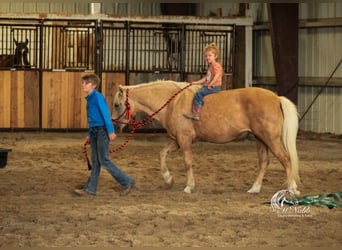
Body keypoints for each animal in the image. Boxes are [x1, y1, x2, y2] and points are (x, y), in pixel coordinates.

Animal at [111, 80, 300, 195]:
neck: (172, 103)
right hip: (260, 139)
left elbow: (187, 162)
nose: (114, 126)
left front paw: (189, 186)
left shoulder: (184, 140)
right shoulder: (176, 141)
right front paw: (169, 179)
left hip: (270, 139)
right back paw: (255, 188)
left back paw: (292, 188)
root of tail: (276, 98)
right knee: (264, 162)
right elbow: (162, 154)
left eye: (117, 104)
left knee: (285, 159)